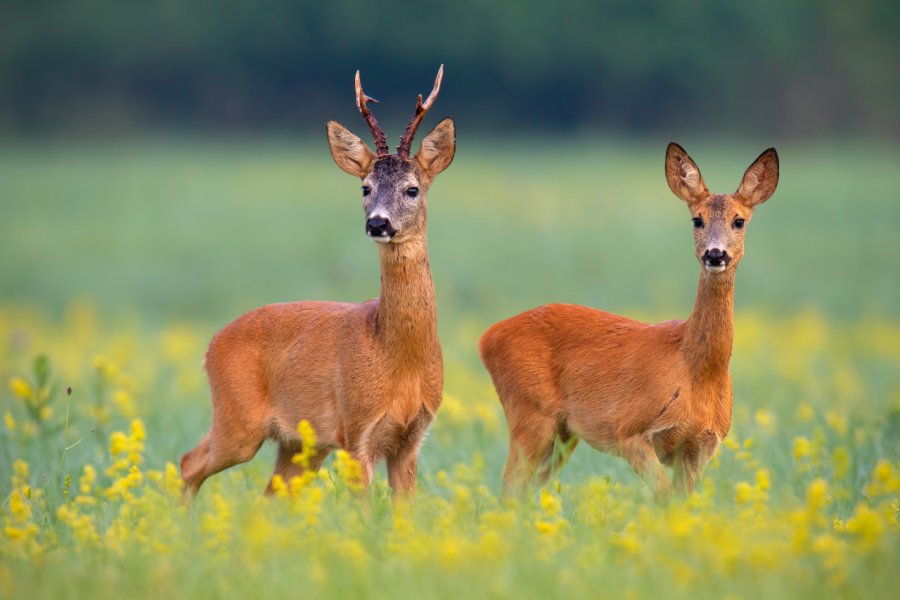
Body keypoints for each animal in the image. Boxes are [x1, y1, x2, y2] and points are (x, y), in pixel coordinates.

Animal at [181, 64, 458, 496]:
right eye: (365, 187)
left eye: (412, 189)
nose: (378, 223)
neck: (397, 359)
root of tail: (210, 345)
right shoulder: (355, 430)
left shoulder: (412, 438)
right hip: (237, 420)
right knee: (188, 463)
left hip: (299, 444)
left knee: (269, 492)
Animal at [478, 143, 780, 500]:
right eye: (697, 219)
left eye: (739, 221)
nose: (715, 254)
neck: (695, 370)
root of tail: (487, 337)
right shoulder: (629, 430)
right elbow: (663, 498)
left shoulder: (702, 445)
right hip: (529, 412)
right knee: (509, 487)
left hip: (562, 433)